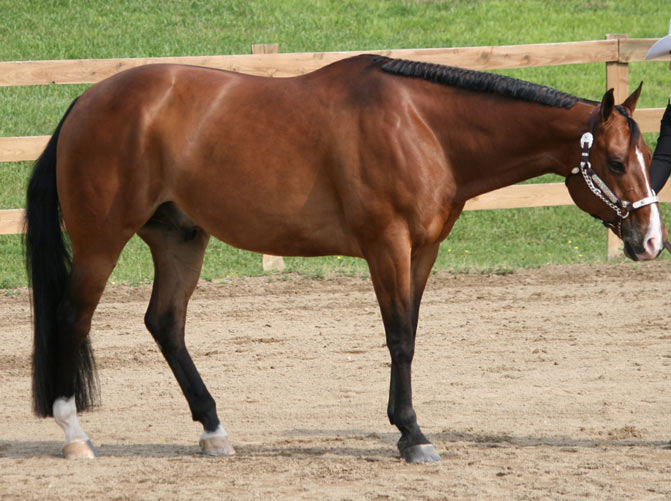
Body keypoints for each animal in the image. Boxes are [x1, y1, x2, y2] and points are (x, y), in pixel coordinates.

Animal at [25, 54, 664, 463]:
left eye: (645, 153)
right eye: (613, 161)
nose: (651, 240)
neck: (425, 127)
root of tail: (87, 100)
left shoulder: (423, 250)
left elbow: (410, 332)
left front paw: (408, 429)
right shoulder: (387, 244)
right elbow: (398, 338)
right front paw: (412, 435)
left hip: (180, 238)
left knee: (165, 323)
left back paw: (214, 430)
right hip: (102, 240)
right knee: (72, 318)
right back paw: (74, 434)